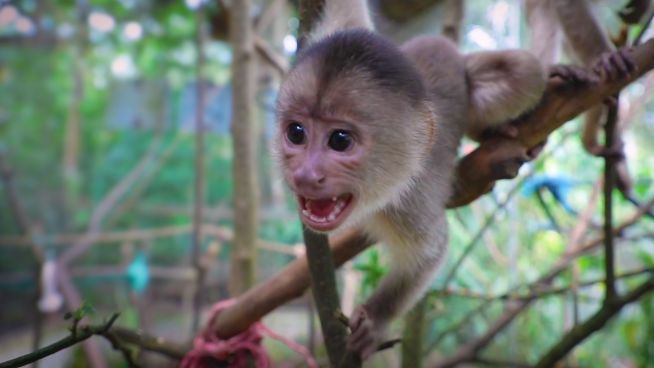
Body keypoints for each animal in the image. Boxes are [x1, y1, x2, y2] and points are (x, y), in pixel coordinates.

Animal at [274, 0, 552, 360]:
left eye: (340, 140)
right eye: (296, 133)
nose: (305, 175)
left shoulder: (410, 201)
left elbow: (431, 251)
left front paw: (376, 319)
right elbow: (347, 16)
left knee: (528, 71)